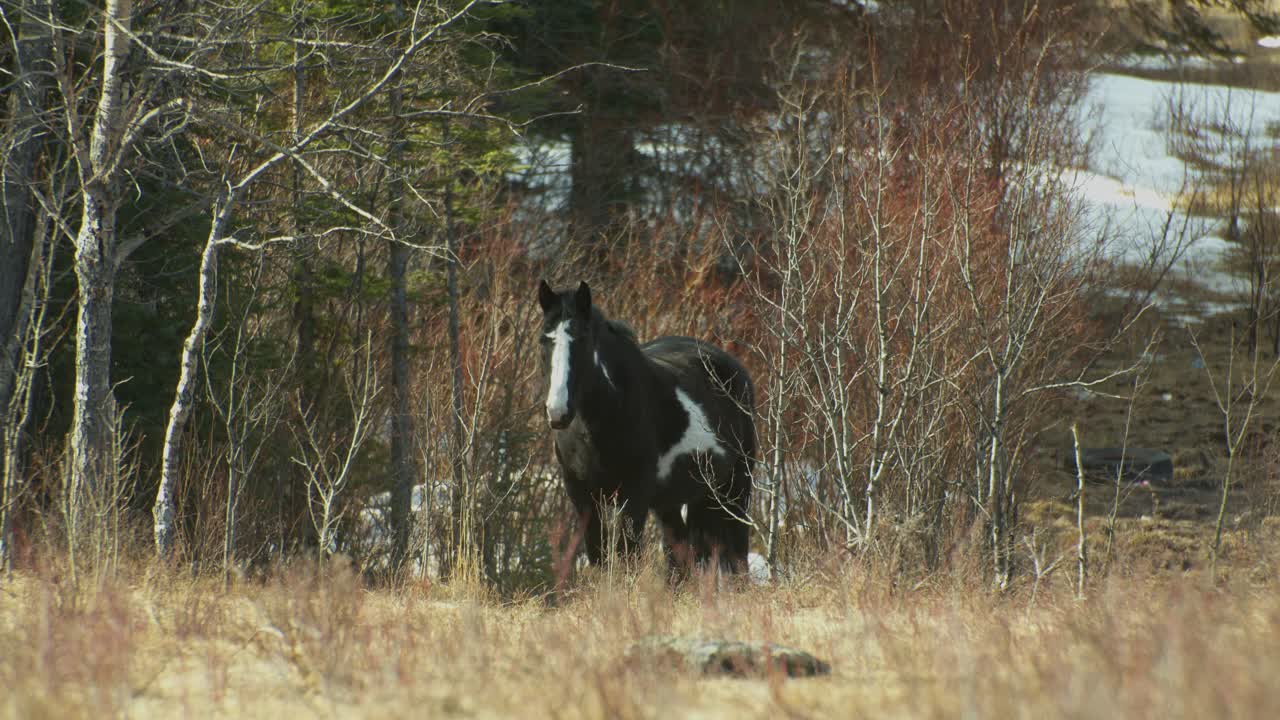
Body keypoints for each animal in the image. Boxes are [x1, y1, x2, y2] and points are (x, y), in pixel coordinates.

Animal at [536, 279, 757, 574]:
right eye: (544, 339)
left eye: (581, 340)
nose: (558, 412)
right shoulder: (582, 496)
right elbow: (599, 558)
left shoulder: (635, 496)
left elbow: (627, 556)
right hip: (677, 500)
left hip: (735, 489)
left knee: (737, 557)